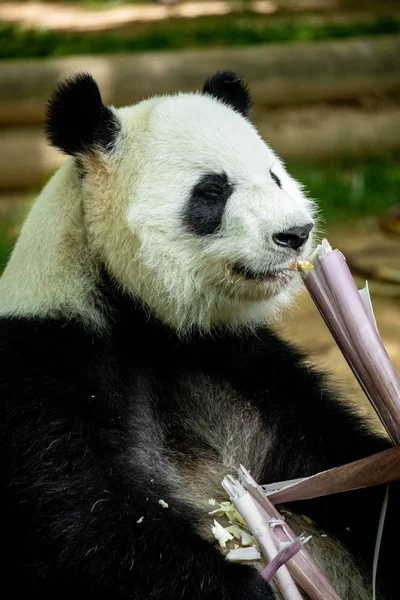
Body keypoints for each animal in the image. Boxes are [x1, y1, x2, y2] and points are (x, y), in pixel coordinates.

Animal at [0, 71, 398, 600]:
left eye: (274, 176)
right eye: (212, 191)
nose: (296, 233)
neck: (141, 320)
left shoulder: (242, 364)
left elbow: (337, 467)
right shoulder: (44, 367)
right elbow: (88, 526)